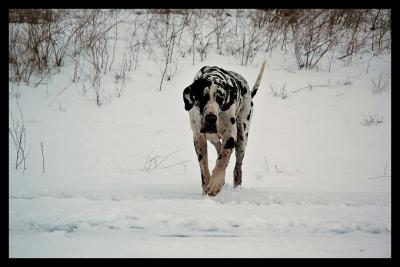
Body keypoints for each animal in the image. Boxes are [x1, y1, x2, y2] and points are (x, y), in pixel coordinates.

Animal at [184, 61, 266, 198]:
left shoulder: (230, 135)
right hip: (213, 139)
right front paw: (207, 185)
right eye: (202, 97)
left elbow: (223, 159)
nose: (211, 118)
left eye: (220, 98)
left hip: (242, 139)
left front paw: (215, 183)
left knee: (237, 166)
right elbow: (204, 165)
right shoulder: (198, 137)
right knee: (218, 149)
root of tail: (249, 92)